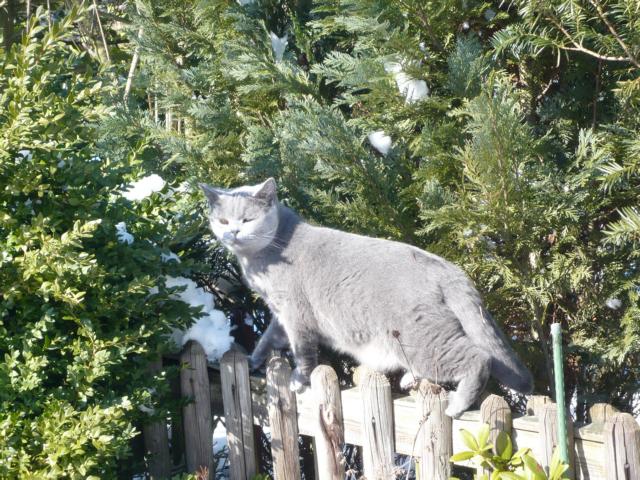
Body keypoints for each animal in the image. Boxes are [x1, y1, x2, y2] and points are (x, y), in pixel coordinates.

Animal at [200, 178, 533, 417]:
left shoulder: (295, 313)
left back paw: (457, 405)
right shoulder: (280, 314)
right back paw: (411, 379)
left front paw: (297, 379)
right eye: (223, 221)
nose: (232, 233)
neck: (264, 256)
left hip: (422, 338)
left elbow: (304, 352)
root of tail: (451, 271)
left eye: (247, 219)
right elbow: (268, 337)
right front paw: (253, 359)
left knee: (478, 358)